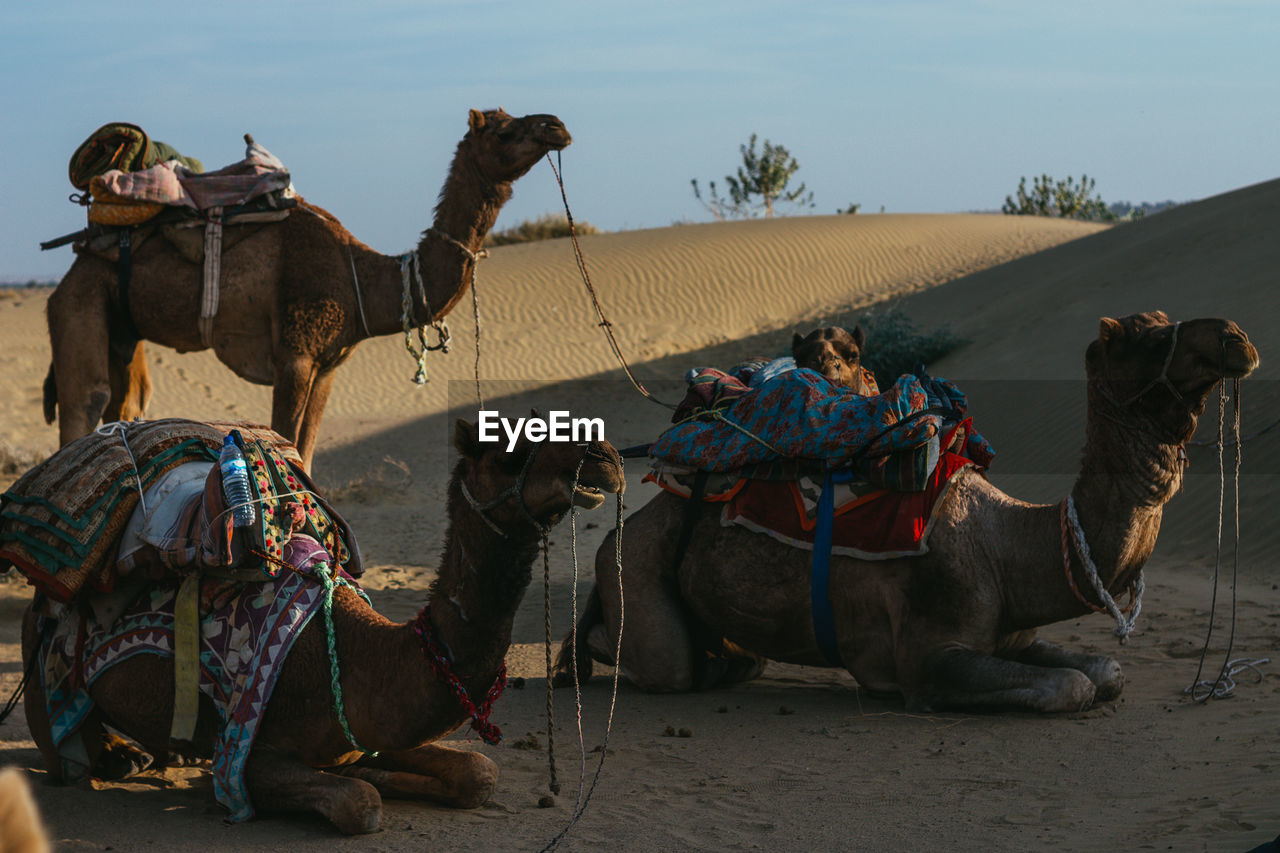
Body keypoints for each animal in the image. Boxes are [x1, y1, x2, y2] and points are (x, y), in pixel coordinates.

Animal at [18, 417, 619, 829]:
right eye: (509, 456)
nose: (605, 456)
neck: (361, 657)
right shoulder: (246, 758)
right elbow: (361, 805)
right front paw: (358, 780)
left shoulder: (368, 728)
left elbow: (479, 773)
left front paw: (366, 769)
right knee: (68, 748)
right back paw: (120, 758)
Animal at [45, 108, 573, 468]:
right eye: (504, 130)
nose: (557, 126)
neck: (360, 278)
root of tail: (78, 252)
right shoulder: (295, 356)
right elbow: (288, 448)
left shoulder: (330, 366)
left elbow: (310, 454)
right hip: (80, 298)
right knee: (84, 401)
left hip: (123, 325)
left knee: (126, 403)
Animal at [560, 312, 1259, 712]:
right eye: (1141, 337)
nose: (1236, 337)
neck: (1007, 544)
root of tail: (627, 526)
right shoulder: (928, 656)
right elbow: (1074, 687)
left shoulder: (1015, 633)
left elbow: (1106, 672)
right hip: (637, 569)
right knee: (663, 663)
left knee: (735, 652)